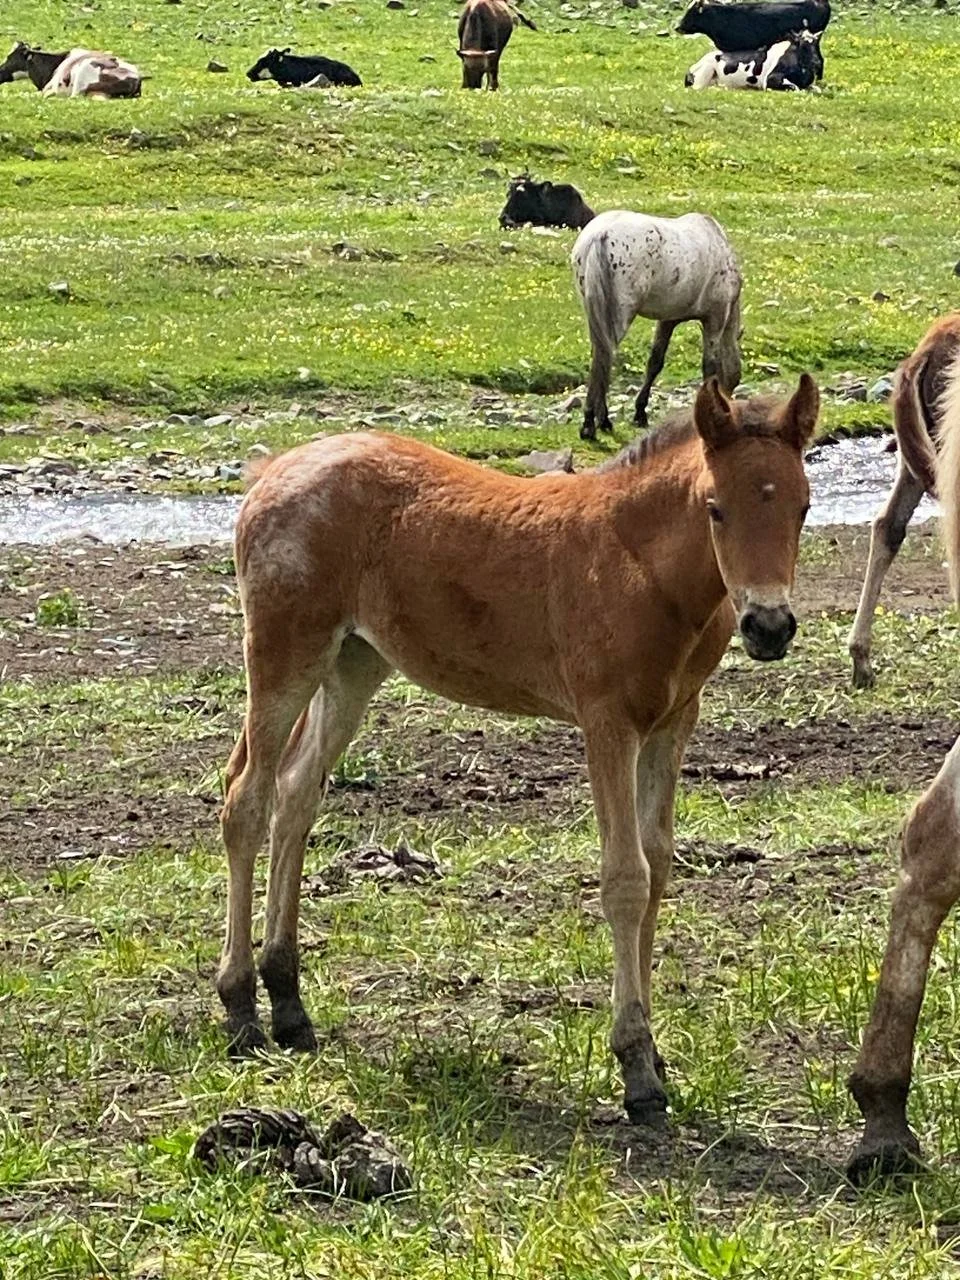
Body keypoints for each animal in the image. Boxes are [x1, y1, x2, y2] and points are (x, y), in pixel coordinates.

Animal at [216, 375, 817, 1125]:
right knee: (246, 798)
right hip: (285, 651)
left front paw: (656, 1056)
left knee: (297, 793)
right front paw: (636, 1069)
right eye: (716, 509)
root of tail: (272, 472)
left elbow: (658, 866)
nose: (769, 626)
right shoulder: (606, 722)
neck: (639, 566)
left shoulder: (674, 721)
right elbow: (626, 878)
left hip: (355, 661)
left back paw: (290, 1004)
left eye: (803, 506)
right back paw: (241, 1007)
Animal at [571, 211, 743, 442]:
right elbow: (710, 367)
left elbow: (655, 362)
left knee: (600, 359)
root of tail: (601, 234)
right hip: (620, 315)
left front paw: (640, 413)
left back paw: (598, 420)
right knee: (603, 359)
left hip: (595, 313)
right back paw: (594, 423)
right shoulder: (715, 318)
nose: (730, 414)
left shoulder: (668, 320)